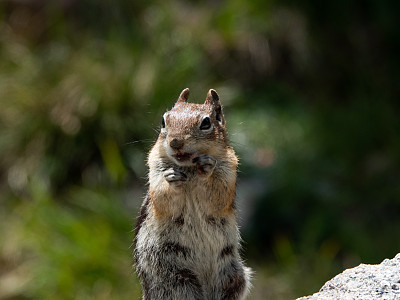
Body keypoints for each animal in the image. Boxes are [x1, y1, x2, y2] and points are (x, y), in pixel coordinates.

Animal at [136, 88, 252, 298]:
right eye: (163, 121)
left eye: (206, 123)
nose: (175, 142)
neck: (189, 170)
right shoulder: (155, 170)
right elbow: (161, 198)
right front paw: (171, 178)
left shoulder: (228, 170)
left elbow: (218, 194)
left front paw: (207, 170)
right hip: (175, 281)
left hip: (233, 277)